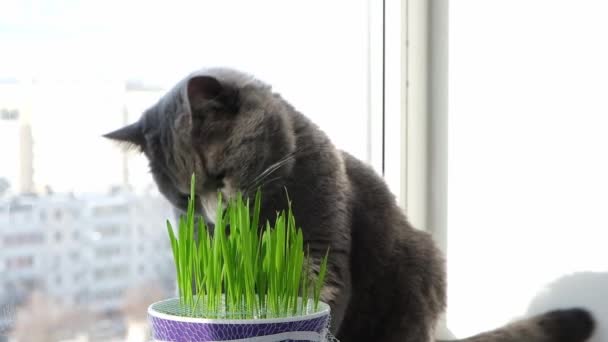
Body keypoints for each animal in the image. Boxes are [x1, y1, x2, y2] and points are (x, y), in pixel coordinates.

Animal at [105, 67, 592, 342]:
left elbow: (316, 293)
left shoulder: (322, 241)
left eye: (218, 176)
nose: (216, 217)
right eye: (183, 198)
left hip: (417, 275)